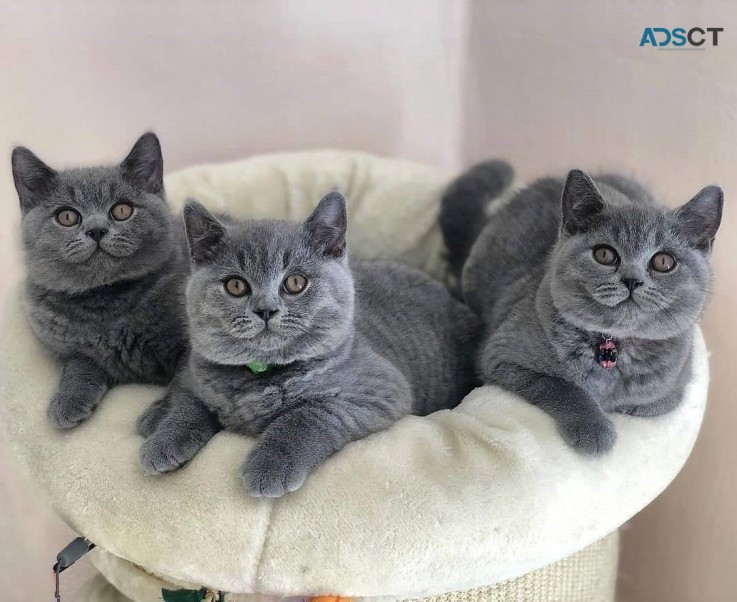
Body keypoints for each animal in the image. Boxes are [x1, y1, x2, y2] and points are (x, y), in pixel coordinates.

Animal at [12, 132, 190, 426]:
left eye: (122, 210)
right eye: (67, 216)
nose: (96, 230)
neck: (104, 300)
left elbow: (187, 380)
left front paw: (162, 414)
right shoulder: (68, 349)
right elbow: (78, 365)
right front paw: (68, 400)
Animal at [140, 190, 480, 494]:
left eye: (295, 282)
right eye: (236, 285)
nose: (266, 309)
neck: (260, 377)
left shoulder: (379, 391)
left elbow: (305, 415)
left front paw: (270, 466)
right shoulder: (198, 376)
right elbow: (188, 403)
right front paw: (164, 441)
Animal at [440, 162, 720, 452]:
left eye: (664, 262)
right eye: (605, 254)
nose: (632, 280)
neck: (613, 347)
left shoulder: (678, 383)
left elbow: (654, 403)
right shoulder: (500, 355)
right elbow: (560, 385)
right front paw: (593, 428)